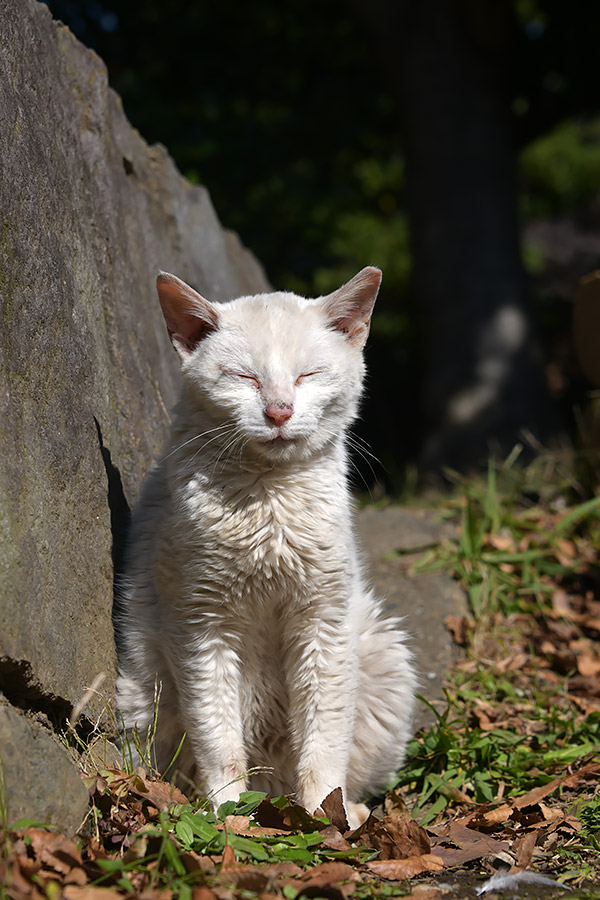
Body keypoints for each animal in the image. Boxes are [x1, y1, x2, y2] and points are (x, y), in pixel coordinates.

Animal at [117, 264, 418, 828]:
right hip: (145, 696)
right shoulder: (200, 629)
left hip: (380, 651)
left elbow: (323, 736)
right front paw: (227, 814)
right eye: (244, 377)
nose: (279, 411)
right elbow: (218, 737)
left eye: (308, 376)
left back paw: (348, 810)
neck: (268, 498)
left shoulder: (324, 625)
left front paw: (325, 816)